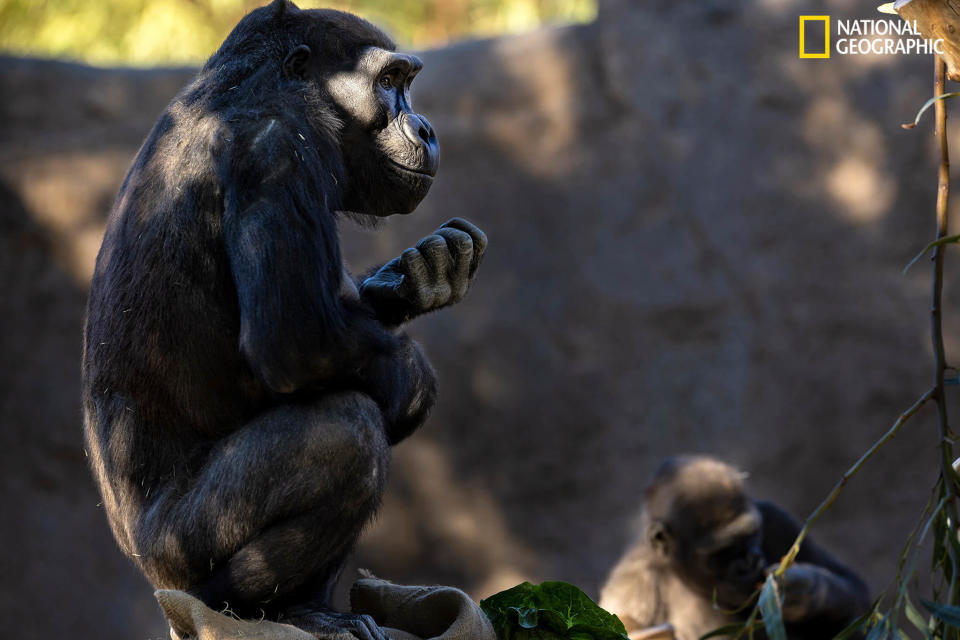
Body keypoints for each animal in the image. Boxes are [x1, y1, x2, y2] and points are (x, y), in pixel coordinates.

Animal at [80, 2, 488, 636]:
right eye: (389, 81)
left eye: (405, 82)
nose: (423, 127)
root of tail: (153, 577)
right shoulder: (276, 154)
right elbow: (299, 339)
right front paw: (414, 381)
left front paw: (413, 278)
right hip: (177, 550)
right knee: (348, 432)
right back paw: (252, 608)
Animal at [600, 456, 872, 640]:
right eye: (724, 552)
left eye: (751, 535)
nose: (751, 561)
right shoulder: (633, 577)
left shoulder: (775, 518)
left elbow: (855, 588)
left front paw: (803, 591)